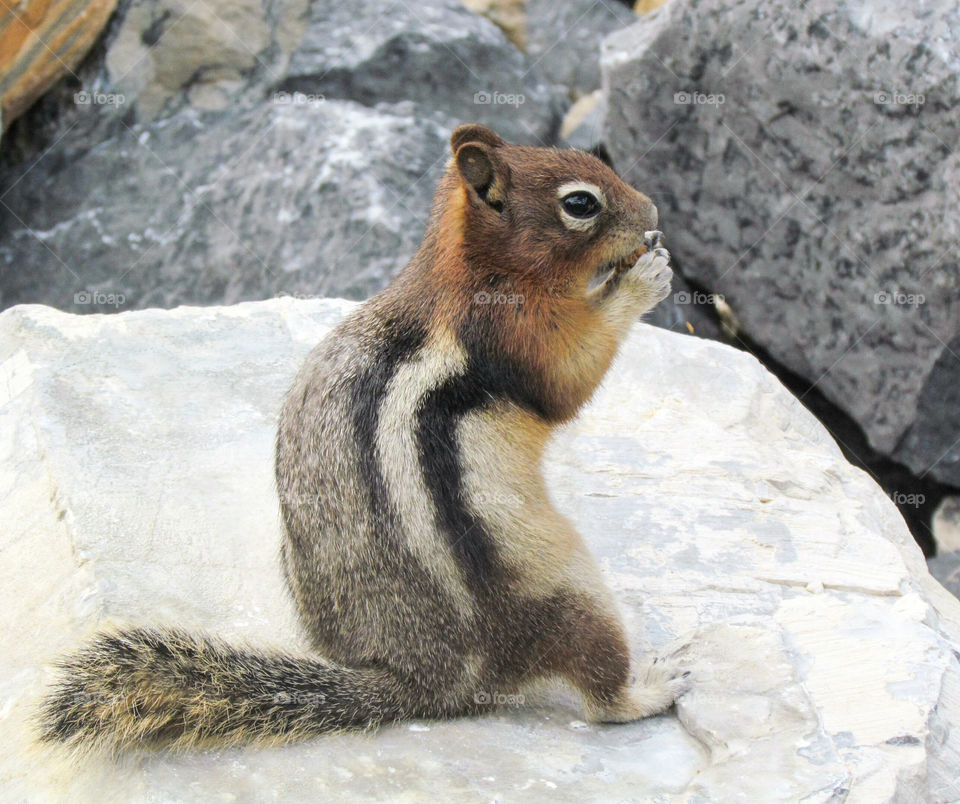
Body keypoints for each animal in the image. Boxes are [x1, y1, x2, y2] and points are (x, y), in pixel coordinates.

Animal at [37, 122, 684, 752]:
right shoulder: (513, 328)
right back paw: (654, 684)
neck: (473, 266)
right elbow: (568, 375)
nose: (653, 215)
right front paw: (645, 278)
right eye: (580, 203)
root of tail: (428, 679)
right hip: (566, 588)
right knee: (599, 689)